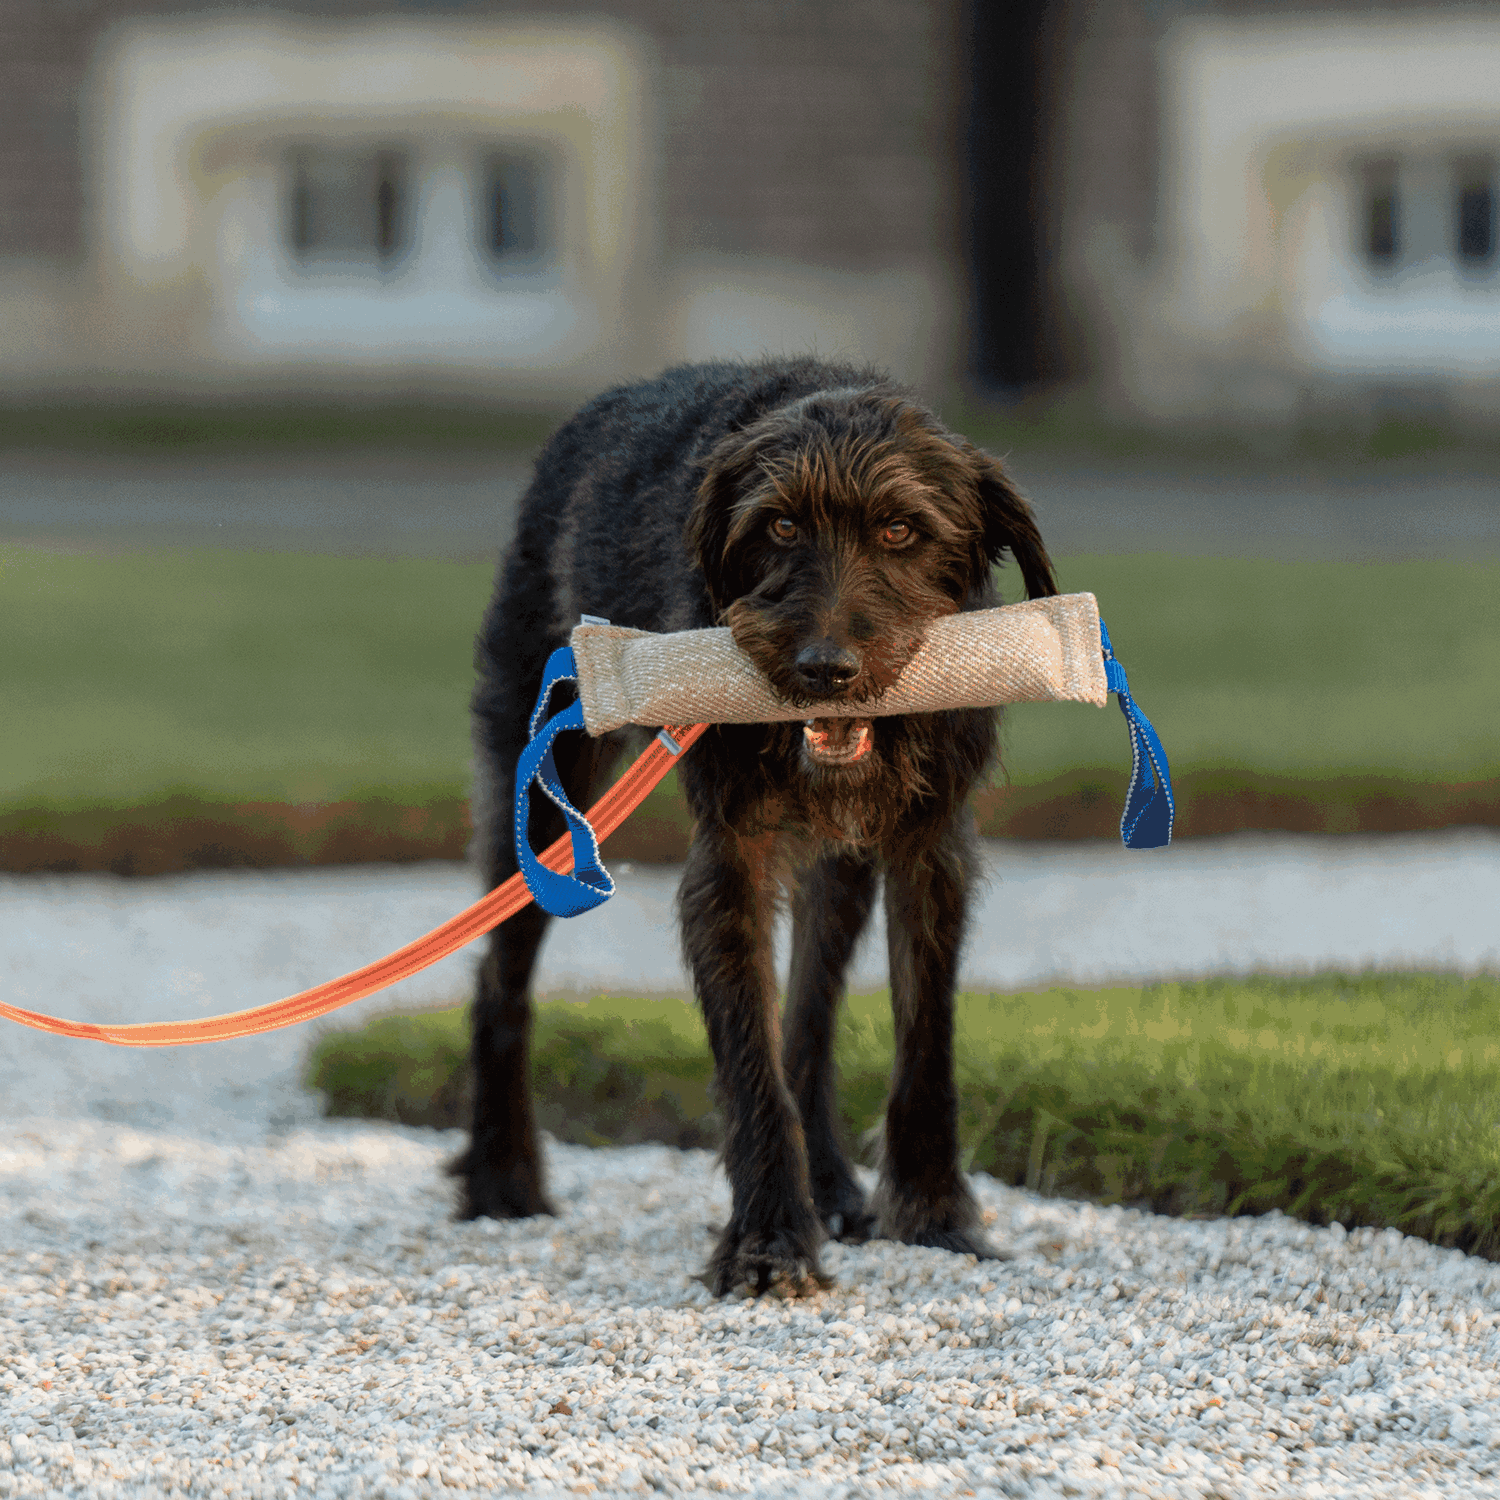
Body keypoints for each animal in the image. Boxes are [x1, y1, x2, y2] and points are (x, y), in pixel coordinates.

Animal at [450, 357, 1062, 1296]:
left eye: (900, 530)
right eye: (778, 526)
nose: (825, 668)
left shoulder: (928, 848)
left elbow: (923, 1036)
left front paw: (932, 1216)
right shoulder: (731, 860)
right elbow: (750, 1058)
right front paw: (770, 1242)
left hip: (839, 872)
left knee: (809, 1015)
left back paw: (836, 1189)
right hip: (543, 790)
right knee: (498, 978)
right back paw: (500, 1176)